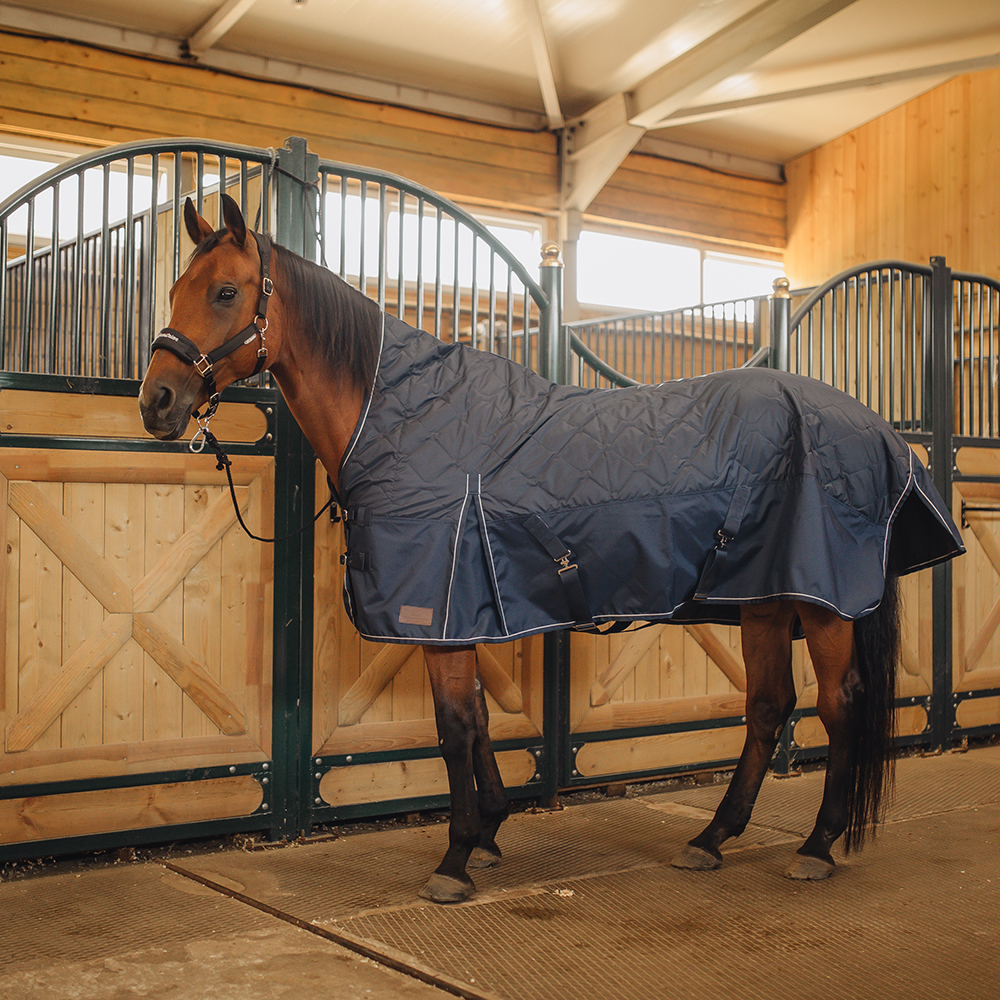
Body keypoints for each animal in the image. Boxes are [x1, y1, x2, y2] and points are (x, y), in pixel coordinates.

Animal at [138, 194, 963, 903]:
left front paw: (455, 858)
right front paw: (489, 832)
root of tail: (876, 429)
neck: (401, 413)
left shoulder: (439, 610)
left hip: (821, 605)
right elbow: (475, 720)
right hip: (763, 598)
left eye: (225, 292)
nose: (156, 402)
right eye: (177, 287)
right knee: (768, 709)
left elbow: (455, 728)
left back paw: (817, 847)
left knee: (839, 706)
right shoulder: (463, 612)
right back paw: (711, 839)